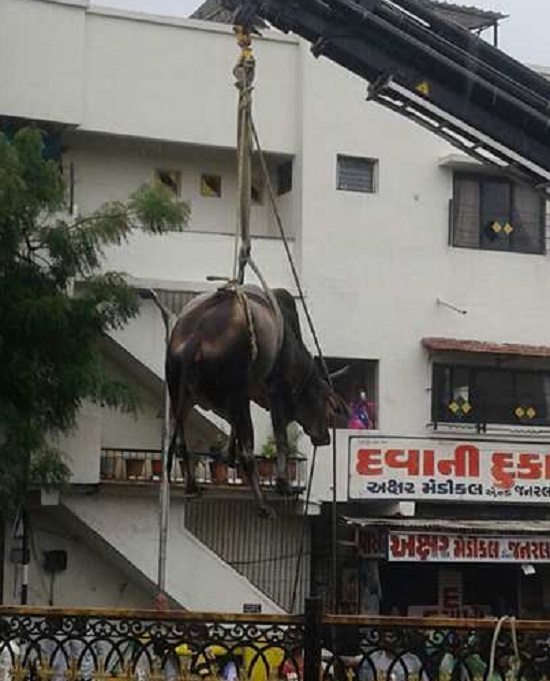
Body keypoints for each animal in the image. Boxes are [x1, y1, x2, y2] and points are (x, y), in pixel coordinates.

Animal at [166, 282, 342, 516]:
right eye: (328, 408)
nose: (326, 438)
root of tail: (194, 340)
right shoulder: (276, 393)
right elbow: (281, 440)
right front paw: (283, 484)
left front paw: (227, 456)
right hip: (236, 398)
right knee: (248, 455)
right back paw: (263, 506)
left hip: (182, 398)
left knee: (182, 445)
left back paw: (192, 487)